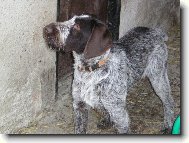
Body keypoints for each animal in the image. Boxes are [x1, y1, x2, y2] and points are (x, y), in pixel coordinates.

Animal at [42, 14, 174, 134]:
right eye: (69, 19)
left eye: (77, 26)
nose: (46, 29)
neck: (91, 71)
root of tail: (156, 32)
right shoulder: (80, 106)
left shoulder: (120, 115)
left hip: (158, 77)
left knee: (168, 101)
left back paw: (168, 125)